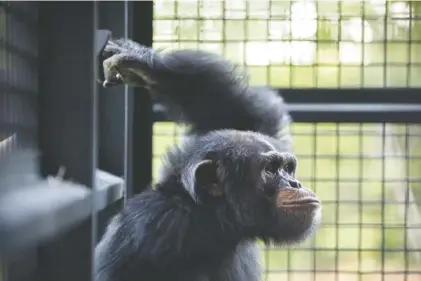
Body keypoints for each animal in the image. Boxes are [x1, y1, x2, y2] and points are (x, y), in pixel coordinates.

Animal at [93, 38, 320, 280]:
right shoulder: (153, 229)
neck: (215, 223)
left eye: (287, 167)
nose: (294, 183)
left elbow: (240, 118)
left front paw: (143, 64)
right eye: (270, 169)